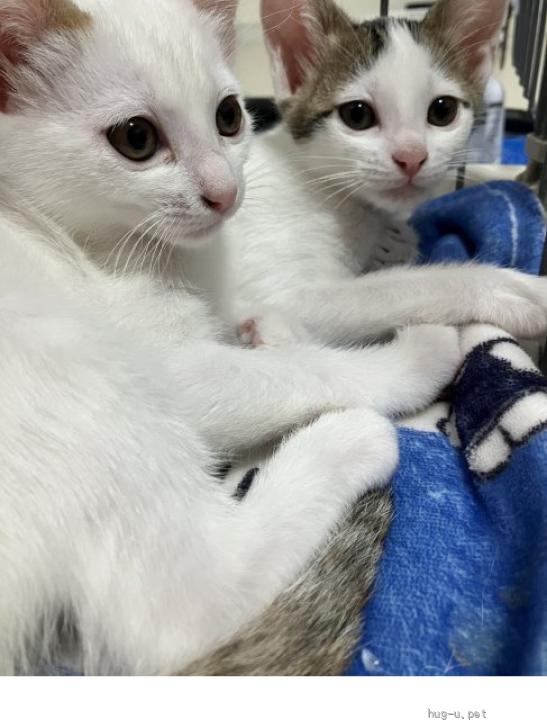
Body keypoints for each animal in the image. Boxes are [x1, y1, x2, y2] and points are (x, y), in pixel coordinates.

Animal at [0, 0, 461, 675]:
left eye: (228, 116)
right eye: (136, 138)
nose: (223, 193)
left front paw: (274, 329)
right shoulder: (164, 363)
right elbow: (301, 371)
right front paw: (416, 352)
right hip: (74, 367)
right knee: (180, 613)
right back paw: (349, 438)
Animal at [179, 0, 547, 351]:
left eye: (443, 111)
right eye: (357, 115)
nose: (412, 157)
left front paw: (395, 239)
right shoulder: (277, 288)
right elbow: (407, 287)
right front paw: (520, 290)